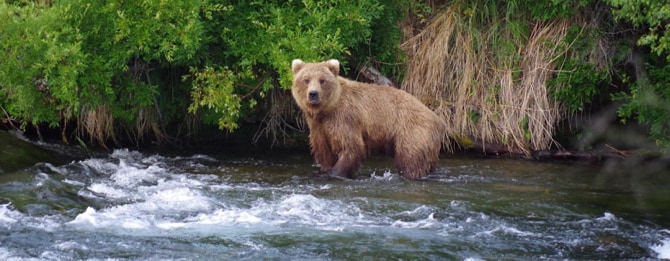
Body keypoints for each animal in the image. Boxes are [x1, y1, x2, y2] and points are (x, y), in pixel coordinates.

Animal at [288, 58, 446, 179]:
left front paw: (336, 173)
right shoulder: (319, 128)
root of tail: (439, 120)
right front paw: (325, 170)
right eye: (306, 80)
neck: (327, 110)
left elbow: (351, 147)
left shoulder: (344, 119)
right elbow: (324, 153)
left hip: (412, 131)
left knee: (410, 159)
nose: (313, 94)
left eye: (322, 80)